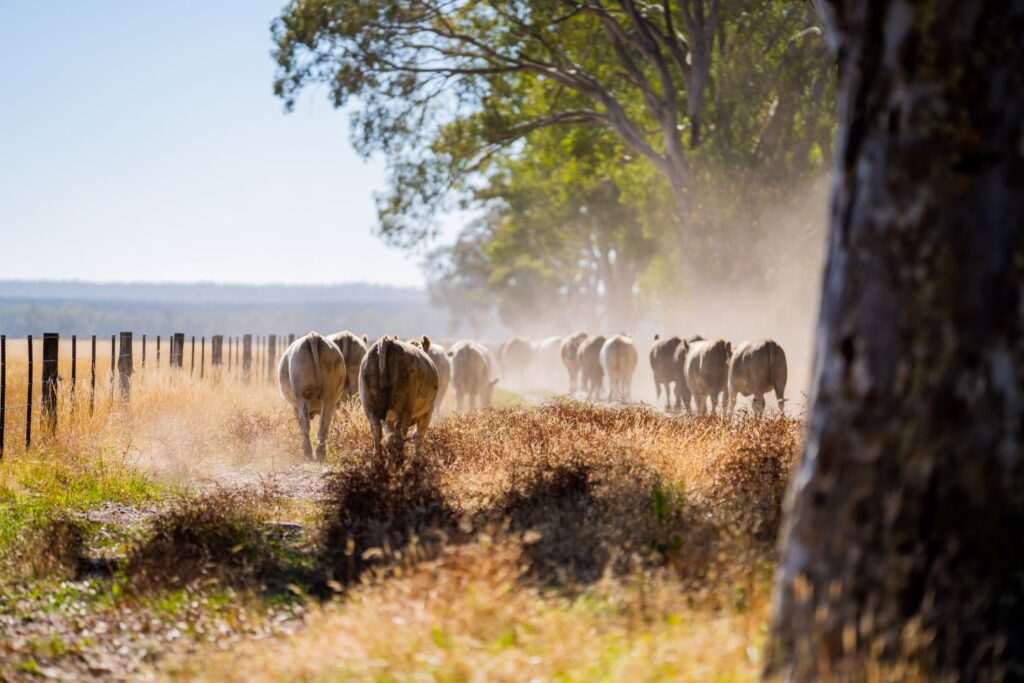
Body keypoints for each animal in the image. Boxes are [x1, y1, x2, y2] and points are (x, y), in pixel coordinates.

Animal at [278, 332, 347, 461]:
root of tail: (313, 336)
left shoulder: (295, 407)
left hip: (302, 397)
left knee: (305, 425)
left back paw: (308, 454)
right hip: (329, 397)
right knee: (323, 425)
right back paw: (320, 454)